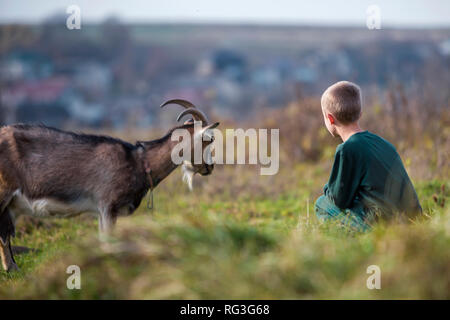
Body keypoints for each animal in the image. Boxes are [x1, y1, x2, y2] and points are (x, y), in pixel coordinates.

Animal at [0, 99, 219, 270]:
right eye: (208, 138)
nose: (210, 168)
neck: (140, 162)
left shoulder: (101, 210)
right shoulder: (108, 206)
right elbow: (108, 240)